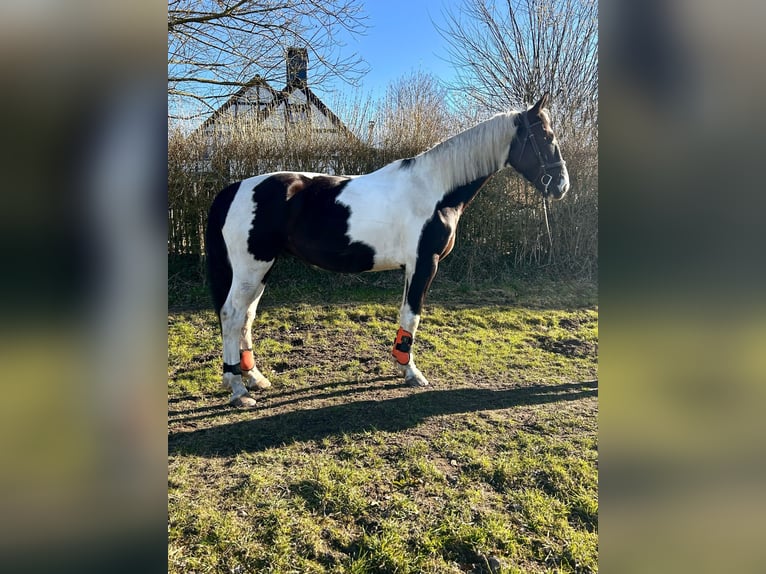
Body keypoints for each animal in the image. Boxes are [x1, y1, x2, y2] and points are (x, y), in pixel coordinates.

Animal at [205, 93, 569, 407]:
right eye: (546, 136)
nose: (561, 185)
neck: (435, 189)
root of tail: (235, 188)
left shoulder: (413, 267)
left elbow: (406, 315)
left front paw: (401, 364)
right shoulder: (425, 263)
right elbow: (412, 315)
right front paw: (411, 372)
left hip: (262, 269)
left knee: (246, 318)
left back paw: (254, 378)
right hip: (252, 268)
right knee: (232, 315)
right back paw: (237, 389)